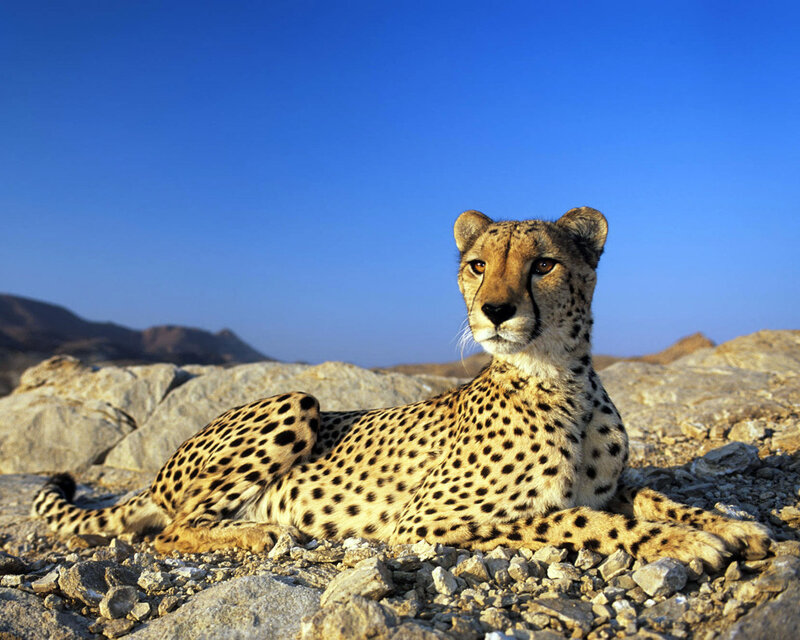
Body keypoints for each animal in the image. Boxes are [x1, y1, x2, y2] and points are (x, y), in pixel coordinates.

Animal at [33, 207, 772, 570]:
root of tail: (158, 472)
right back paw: (256, 533)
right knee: (169, 530)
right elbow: (576, 518)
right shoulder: (423, 520)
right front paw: (684, 545)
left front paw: (733, 526)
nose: (495, 311)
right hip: (296, 402)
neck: (561, 377)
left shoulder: (613, 482)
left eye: (543, 265)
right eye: (476, 265)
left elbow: (655, 497)